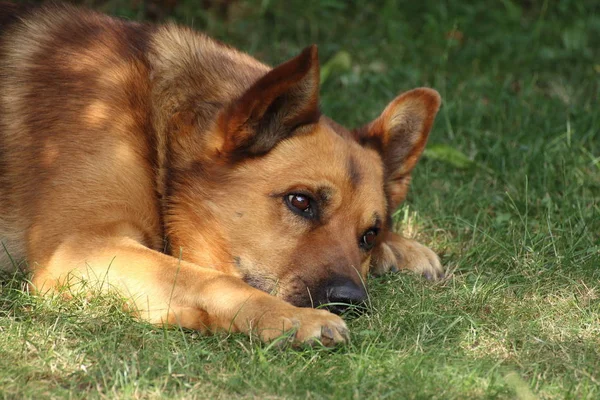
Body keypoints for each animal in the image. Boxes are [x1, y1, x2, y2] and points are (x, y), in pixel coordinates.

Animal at [0, 2, 440, 346]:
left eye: (369, 235)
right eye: (301, 201)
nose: (352, 301)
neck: (159, 127)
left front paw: (400, 247)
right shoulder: (78, 249)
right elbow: (207, 280)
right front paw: (293, 319)